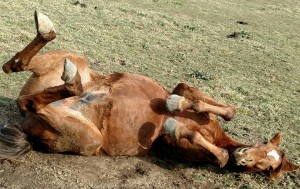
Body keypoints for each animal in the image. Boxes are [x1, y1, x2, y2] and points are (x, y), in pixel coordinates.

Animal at [0, 11, 298, 179]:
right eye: (264, 146)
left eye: (266, 169)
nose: (243, 158)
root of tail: (26, 125)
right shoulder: (186, 92)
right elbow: (213, 105)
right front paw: (177, 104)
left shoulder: (168, 143)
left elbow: (218, 155)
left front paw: (177, 124)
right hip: (73, 61)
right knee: (15, 67)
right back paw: (47, 31)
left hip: (89, 137)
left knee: (29, 96)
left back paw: (69, 79)